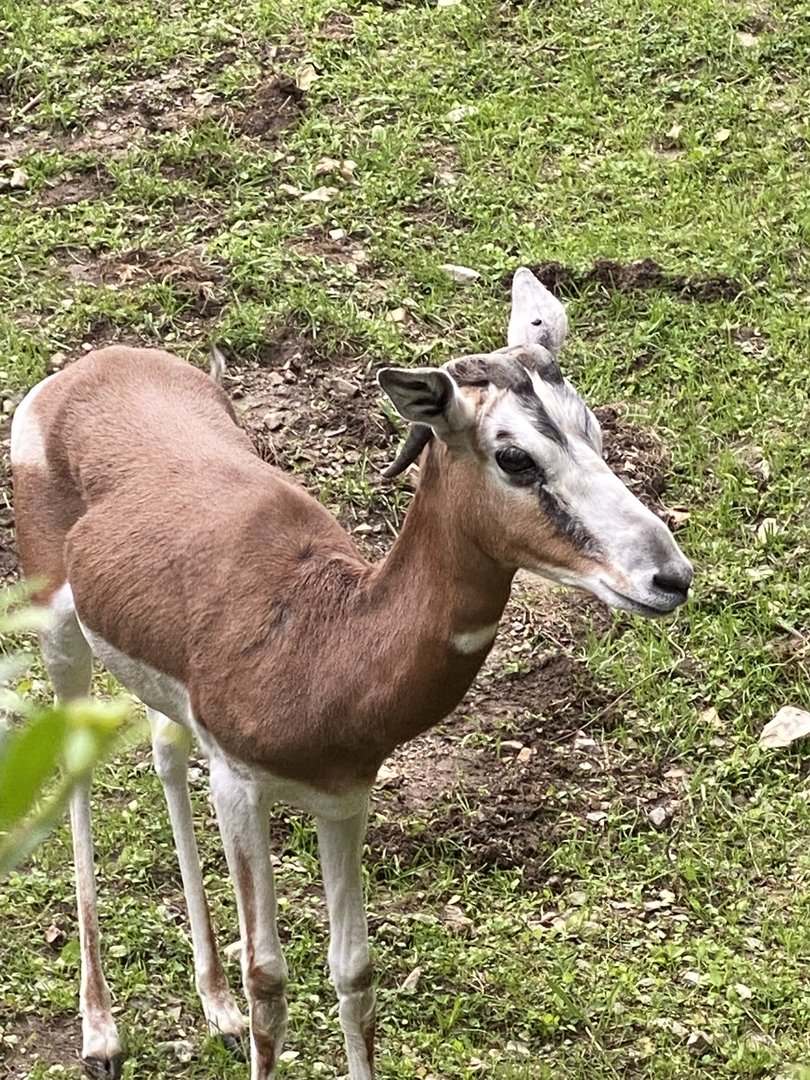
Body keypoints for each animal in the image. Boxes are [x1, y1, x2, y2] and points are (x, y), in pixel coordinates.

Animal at [10, 268, 692, 1080]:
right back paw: (101, 1035)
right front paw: (228, 1008)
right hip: (60, 635)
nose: (669, 577)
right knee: (77, 772)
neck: (328, 639)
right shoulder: (239, 785)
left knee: (165, 756)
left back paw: (214, 1007)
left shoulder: (343, 799)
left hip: (162, 692)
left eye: (592, 431)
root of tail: (85, 370)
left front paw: (246, 1004)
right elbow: (269, 978)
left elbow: (354, 973)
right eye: (516, 457)